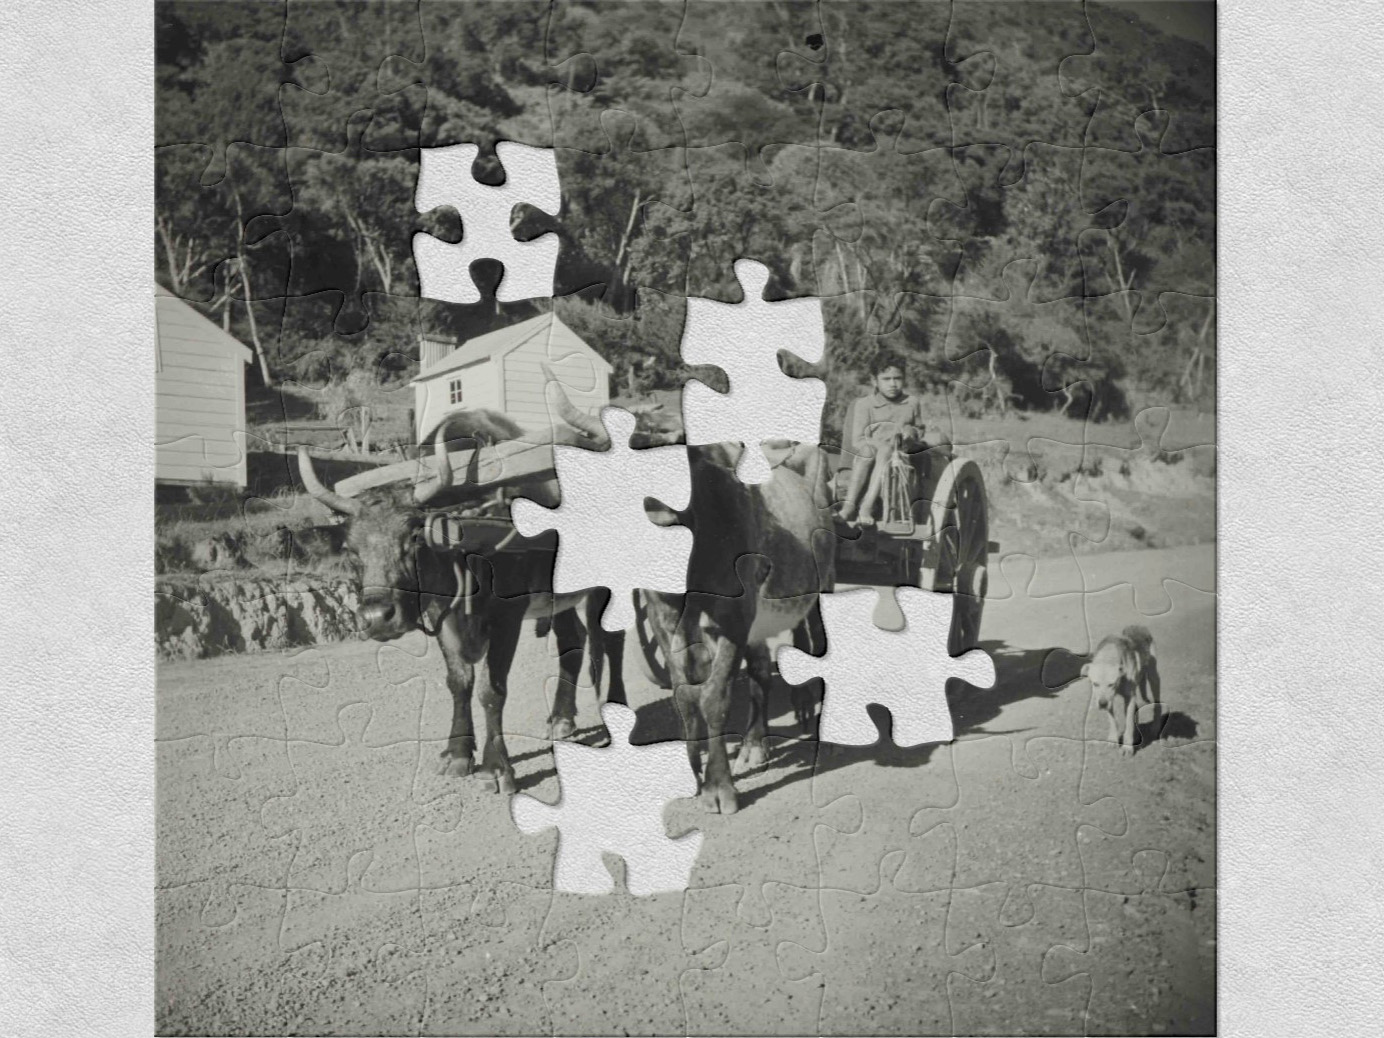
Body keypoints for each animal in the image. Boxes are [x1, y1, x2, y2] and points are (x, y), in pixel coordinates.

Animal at [1079, 625, 1157, 758]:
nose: (1102, 704)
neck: (1108, 656)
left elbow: (1129, 723)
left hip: (1154, 677)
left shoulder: (1129, 698)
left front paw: (1127, 747)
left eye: (1111, 684)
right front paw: (1113, 739)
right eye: (1095, 684)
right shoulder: (1108, 700)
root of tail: (1139, 626)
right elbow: (1112, 720)